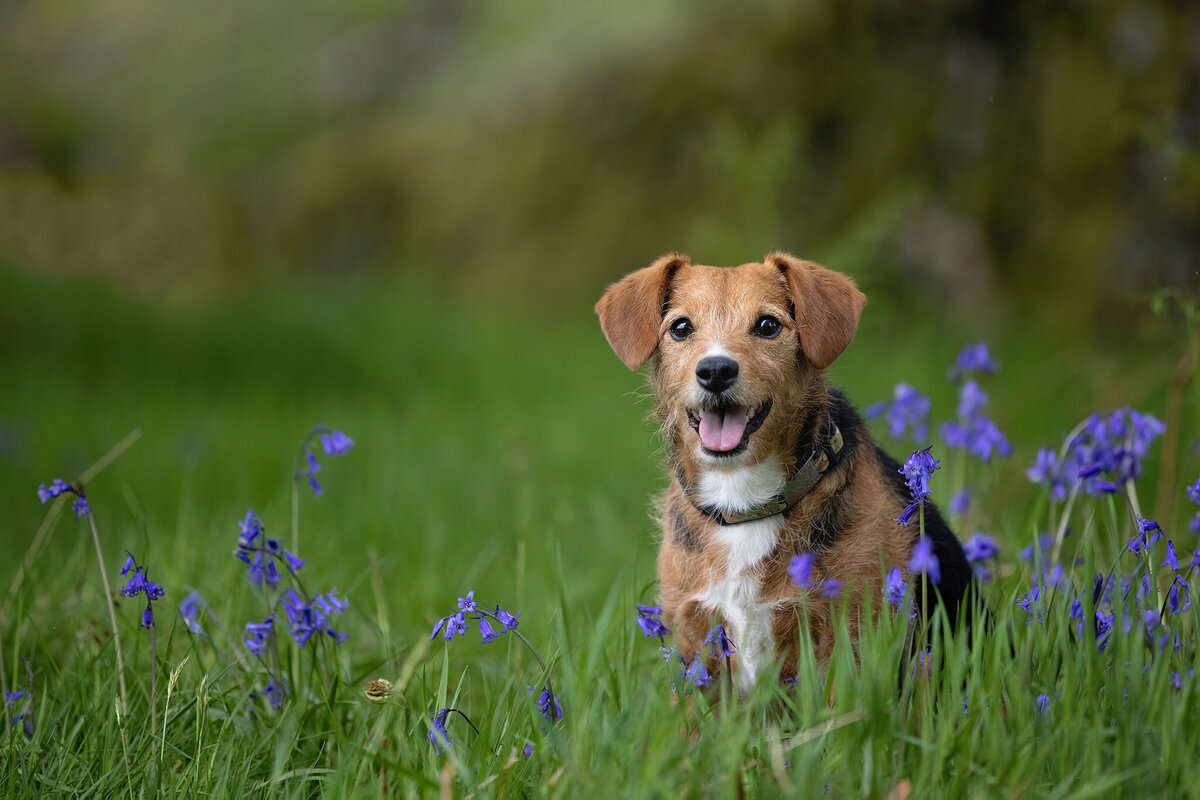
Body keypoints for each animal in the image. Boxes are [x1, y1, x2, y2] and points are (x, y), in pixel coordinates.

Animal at [595, 253, 969, 690]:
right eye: (681, 327)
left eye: (768, 325)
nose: (716, 370)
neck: (744, 500)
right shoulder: (695, 645)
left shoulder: (851, 635)